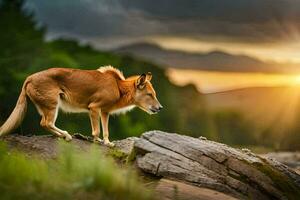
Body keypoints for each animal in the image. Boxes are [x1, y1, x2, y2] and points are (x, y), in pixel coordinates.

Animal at [0, 66, 162, 146]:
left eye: (154, 94)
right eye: (150, 95)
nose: (160, 108)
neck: (119, 88)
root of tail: (29, 78)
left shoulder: (105, 112)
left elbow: (106, 131)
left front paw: (107, 143)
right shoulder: (94, 108)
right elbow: (97, 131)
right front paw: (97, 142)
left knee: (45, 124)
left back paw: (61, 135)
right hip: (53, 105)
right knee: (46, 123)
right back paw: (66, 135)